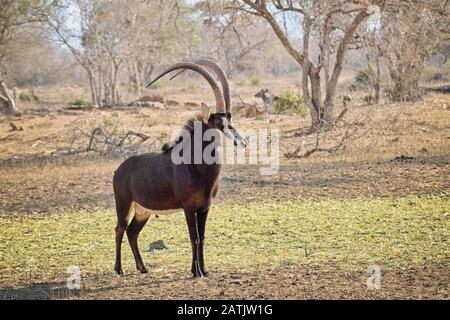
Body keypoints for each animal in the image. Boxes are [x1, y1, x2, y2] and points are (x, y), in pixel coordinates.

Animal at [112, 60, 246, 278]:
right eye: (219, 121)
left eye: (231, 118)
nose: (240, 141)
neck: (197, 167)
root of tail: (119, 170)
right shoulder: (189, 208)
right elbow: (194, 238)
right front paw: (196, 272)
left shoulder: (205, 207)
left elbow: (203, 238)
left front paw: (203, 270)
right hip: (124, 205)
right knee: (119, 229)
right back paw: (119, 269)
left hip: (143, 211)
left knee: (132, 232)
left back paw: (142, 267)